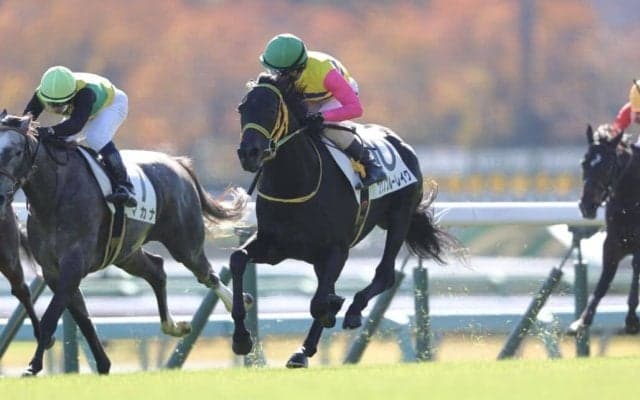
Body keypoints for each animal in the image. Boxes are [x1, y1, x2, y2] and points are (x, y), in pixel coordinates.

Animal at [0, 111, 251, 376]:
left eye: (17, 152)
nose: (0, 196)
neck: (55, 194)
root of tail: (177, 163)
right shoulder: (53, 271)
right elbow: (83, 318)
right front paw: (103, 364)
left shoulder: (74, 264)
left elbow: (52, 316)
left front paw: (33, 366)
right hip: (126, 253)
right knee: (157, 270)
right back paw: (174, 325)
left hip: (185, 243)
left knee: (207, 275)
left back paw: (242, 303)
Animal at [230, 73, 461, 367]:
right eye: (242, 108)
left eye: (271, 109)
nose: (249, 153)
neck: (296, 181)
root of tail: (400, 142)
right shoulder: (274, 247)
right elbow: (237, 259)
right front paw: (241, 338)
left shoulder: (337, 250)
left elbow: (319, 302)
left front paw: (333, 309)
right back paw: (304, 348)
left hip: (400, 218)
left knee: (384, 275)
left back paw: (348, 314)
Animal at [570, 124, 640, 335]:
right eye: (584, 163)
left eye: (608, 166)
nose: (587, 205)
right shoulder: (613, 243)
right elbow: (604, 280)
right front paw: (582, 321)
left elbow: (636, 269)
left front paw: (631, 319)